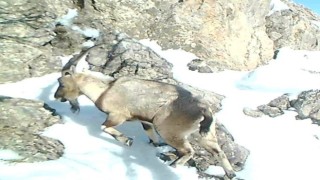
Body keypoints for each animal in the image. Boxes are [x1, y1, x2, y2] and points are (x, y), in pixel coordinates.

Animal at [54, 45, 235, 179]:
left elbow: (104, 127)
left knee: (189, 150)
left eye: (61, 82)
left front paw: (126, 140)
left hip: (169, 129)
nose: (56, 97)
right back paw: (230, 173)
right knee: (218, 151)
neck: (104, 90)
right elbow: (151, 136)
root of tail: (203, 108)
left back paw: (175, 164)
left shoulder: (118, 115)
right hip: (205, 135)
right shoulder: (145, 121)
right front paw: (154, 146)